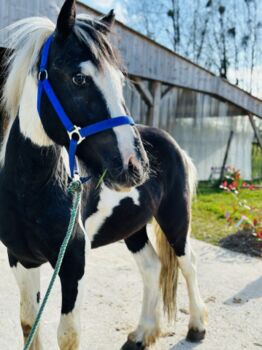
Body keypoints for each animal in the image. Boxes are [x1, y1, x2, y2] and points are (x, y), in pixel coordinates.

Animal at [0, 1, 208, 348]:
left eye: (120, 82)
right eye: (79, 78)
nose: (135, 164)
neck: (31, 190)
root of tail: (170, 142)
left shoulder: (73, 263)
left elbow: (68, 334)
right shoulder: (21, 259)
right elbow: (30, 324)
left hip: (176, 218)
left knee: (188, 264)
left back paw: (197, 327)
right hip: (133, 226)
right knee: (151, 267)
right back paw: (141, 334)